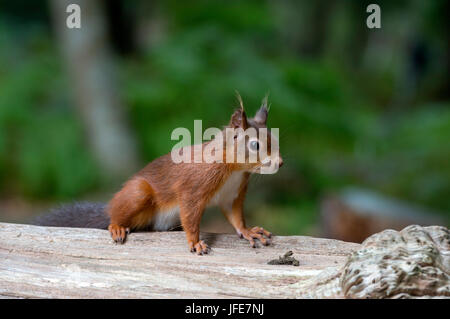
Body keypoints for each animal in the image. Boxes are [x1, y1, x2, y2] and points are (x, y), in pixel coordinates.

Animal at [33, 96, 284, 256]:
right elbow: (191, 215)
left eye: (275, 138)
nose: (280, 163)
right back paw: (116, 226)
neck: (234, 170)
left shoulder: (232, 194)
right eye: (255, 144)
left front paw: (249, 232)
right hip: (138, 193)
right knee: (116, 214)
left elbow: (235, 216)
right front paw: (195, 242)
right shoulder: (194, 186)